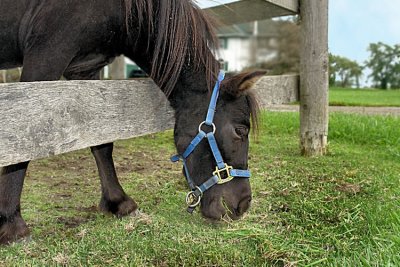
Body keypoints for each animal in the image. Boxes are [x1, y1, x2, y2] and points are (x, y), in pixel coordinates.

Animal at [0, 0, 266, 245]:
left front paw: (119, 202)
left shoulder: (85, 70)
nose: (243, 204)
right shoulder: (45, 55)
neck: (122, 10)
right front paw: (12, 223)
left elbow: (102, 142)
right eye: (240, 130)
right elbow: (25, 139)